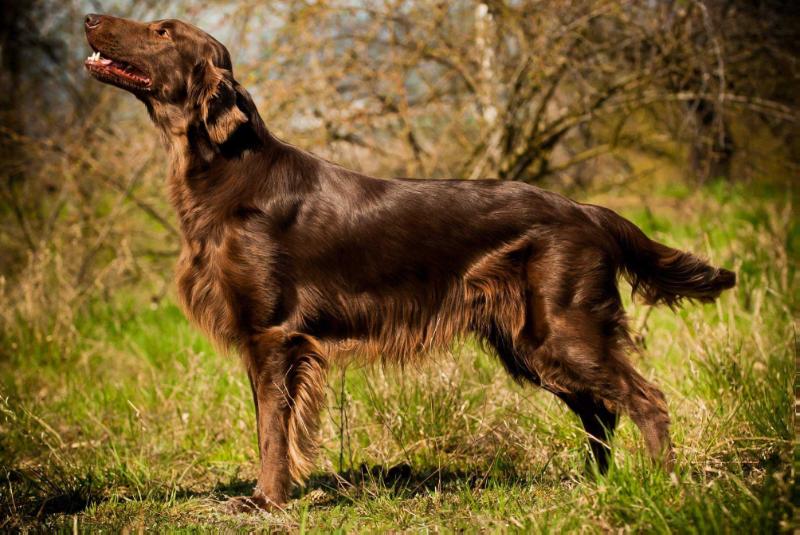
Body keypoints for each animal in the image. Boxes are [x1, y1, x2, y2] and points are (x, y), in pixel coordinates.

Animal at [84, 13, 736, 510]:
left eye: (162, 31)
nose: (89, 17)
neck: (228, 172)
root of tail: (586, 210)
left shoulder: (271, 334)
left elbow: (272, 430)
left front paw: (266, 501)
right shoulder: (265, 340)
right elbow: (272, 424)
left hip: (564, 330)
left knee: (645, 401)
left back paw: (660, 488)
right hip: (531, 344)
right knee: (601, 413)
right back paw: (595, 489)